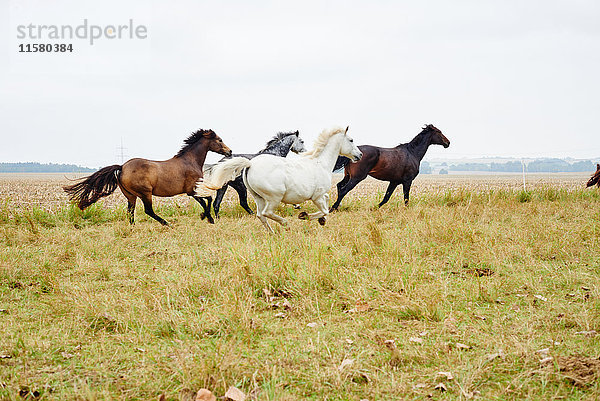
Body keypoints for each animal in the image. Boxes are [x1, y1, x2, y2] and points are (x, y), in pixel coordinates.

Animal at [63, 129, 232, 225]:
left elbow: (206, 201)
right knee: (148, 211)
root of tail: (122, 167)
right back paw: (166, 223)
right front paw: (207, 218)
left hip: (130, 196)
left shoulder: (192, 191)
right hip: (145, 193)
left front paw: (206, 217)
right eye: (220, 140)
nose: (230, 151)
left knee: (130, 212)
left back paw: (133, 227)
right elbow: (208, 200)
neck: (190, 161)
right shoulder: (192, 190)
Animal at [197, 126, 364, 233]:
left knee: (258, 214)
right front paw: (305, 215)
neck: (320, 163)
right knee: (266, 212)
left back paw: (271, 232)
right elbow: (325, 210)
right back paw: (286, 224)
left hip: (253, 195)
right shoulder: (317, 196)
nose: (360, 155)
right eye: (351, 140)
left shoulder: (322, 194)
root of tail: (250, 164)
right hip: (273, 197)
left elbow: (327, 203)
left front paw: (321, 220)